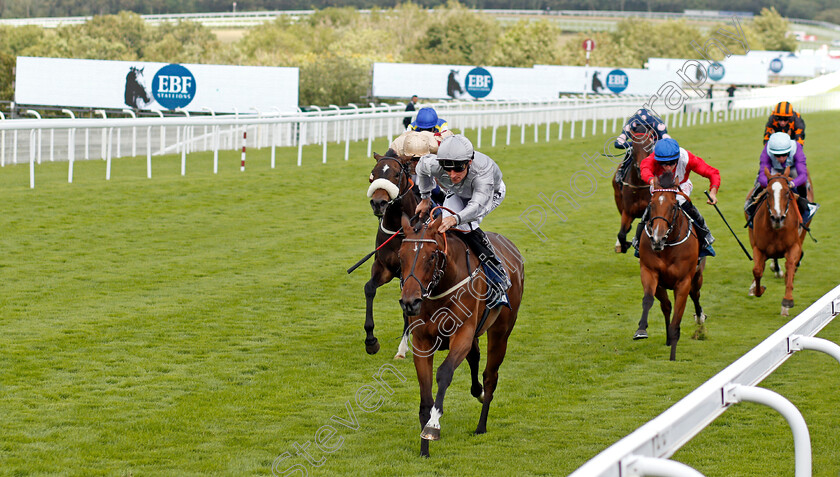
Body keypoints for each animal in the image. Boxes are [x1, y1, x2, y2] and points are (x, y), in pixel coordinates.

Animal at [364, 152, 420, 356]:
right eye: (373, 174)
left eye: (396, 174)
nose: (378, 203)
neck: (399, 227)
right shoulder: (383, 268)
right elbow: (369, 289)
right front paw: (371, 340)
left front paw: (403, 347)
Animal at [398, 214, 520, 456]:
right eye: (400, 255)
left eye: (431, 255)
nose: (410, 302)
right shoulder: (422, 341)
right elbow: (425, 394)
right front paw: (424, 449)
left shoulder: (462, 333)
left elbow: (444, 372)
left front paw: (433, 426)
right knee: (475, 357)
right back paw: (478, 392)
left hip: (501, 331)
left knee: (490, 375)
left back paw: (481, 425)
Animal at [632, 173, 704, 358]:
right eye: (651, 205)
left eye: (673, 207)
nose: (657, 238)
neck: (667, 246)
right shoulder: (649, 272)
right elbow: (648, 299)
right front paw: (641, 330)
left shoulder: (684, 281)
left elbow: (679, 312)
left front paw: (674, 340)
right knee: (666, 305)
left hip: (697, 276)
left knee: (695, 295)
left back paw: (700, 322)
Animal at [744, 167, 812, 316]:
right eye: (768, 192)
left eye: (787, 192)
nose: (777, 218)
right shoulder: (758, 248)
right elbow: (757, 270)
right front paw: (758, 289)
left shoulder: (794, 246)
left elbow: (790, 266)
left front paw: (787, 301)